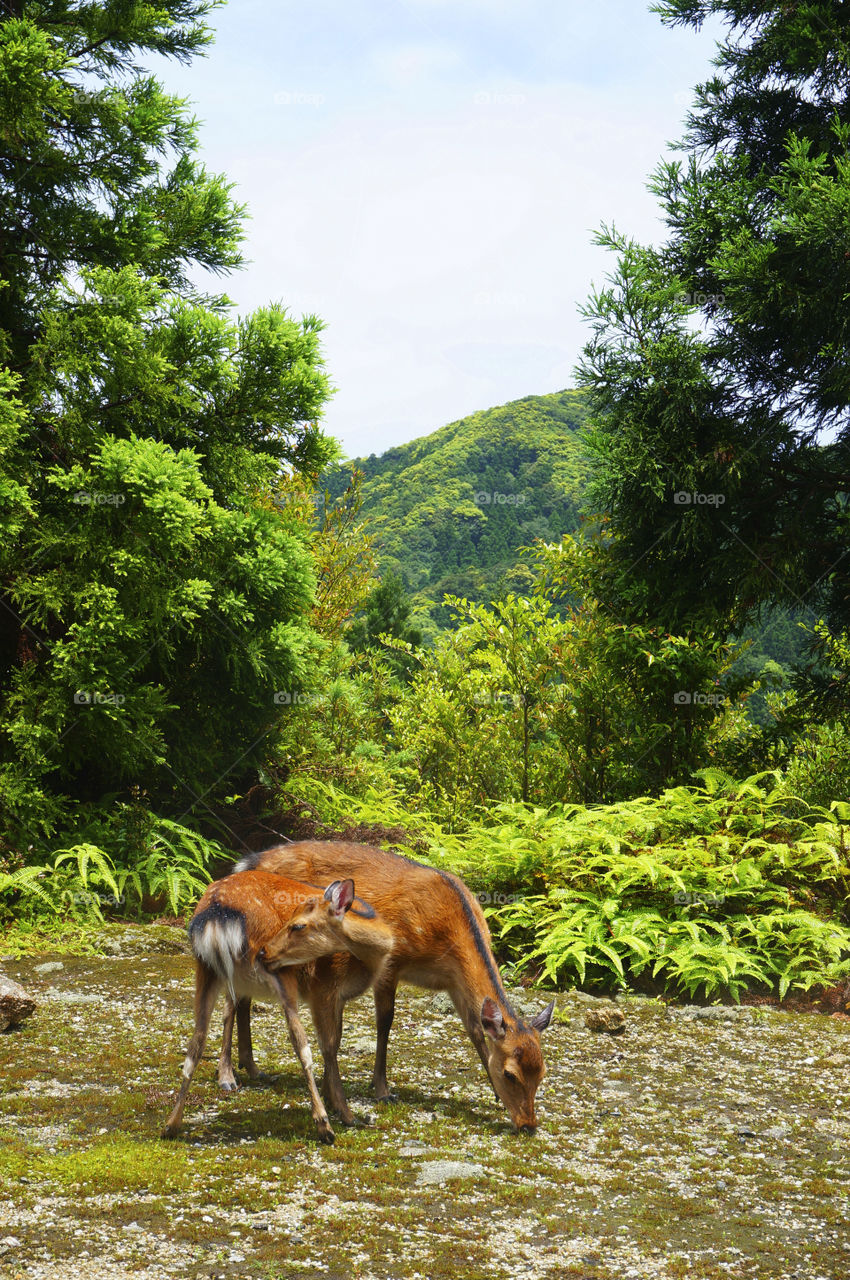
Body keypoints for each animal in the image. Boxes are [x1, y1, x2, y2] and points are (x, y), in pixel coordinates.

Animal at [161, 865, 391, 1146]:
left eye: (299, 924)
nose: (264, 951)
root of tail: (216, 914)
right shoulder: (325, 989)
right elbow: (329, 1046)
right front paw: (343, 1111)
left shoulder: (339, 998)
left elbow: (335, 1041)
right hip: (280, 973)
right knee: (300, 1044)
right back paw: (324, 1125)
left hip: (208, 969)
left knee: (198, 1038)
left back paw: (172, 1124)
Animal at [227, 844, 558, 1136]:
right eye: (510, 1073)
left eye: (543, 1072)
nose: (529, 1125)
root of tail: (245, 864)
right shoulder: (391, 964)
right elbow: (385, 1022)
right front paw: (381, 1089)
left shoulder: (453, 983)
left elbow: (476, 1031)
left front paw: (493, 1097)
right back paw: (240, 1071)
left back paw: (249, 1066)